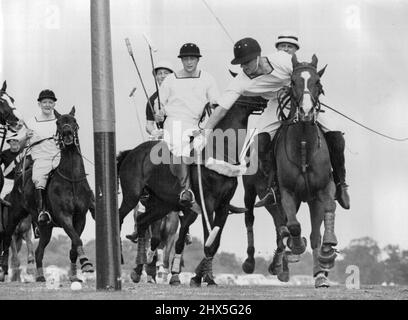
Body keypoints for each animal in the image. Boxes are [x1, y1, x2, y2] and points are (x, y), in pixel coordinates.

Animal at [0, 107, 94, 282]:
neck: (71, 179)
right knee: (7, 237)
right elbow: (76, 238)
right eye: (58, 122)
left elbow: (73, 245)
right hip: (15, 214)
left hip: (46, 228)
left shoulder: (80, 218)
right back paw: (4, 268)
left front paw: (75, 275)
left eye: (74, 121)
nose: (67, 133)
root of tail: (20, 177)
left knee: (39, 251)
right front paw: (86, 263)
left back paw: (40, 276)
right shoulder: (64, 216)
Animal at [118, 94, 268, 286]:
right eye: (244, 92)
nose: (263, 100)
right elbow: (207, 240)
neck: (221, 151)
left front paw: (205, 277)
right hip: (132, 195)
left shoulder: (222, 206)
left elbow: (212, 242)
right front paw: (204, 278)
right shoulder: (207, 204)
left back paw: (138, 269)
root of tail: (131, 152)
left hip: (162, 205)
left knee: (143, 222)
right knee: (121, 217)